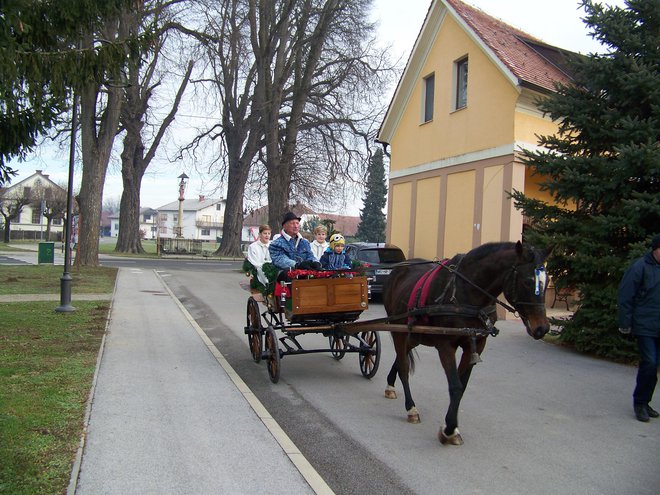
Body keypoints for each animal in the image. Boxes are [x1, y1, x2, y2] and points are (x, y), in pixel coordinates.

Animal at [382, 242, 552, 448]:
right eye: (527, 282)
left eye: (547, 282)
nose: (542, 328)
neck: (467, 293)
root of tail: (399, 268)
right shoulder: (445, 345)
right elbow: (455, 386)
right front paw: (448, 430)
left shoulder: (475, 345)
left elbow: (461, 386)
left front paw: (452, 428)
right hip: (398, 331)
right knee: (404, 368)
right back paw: (411, 408)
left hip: (416, 334)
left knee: (401, 359)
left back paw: (390, 385)